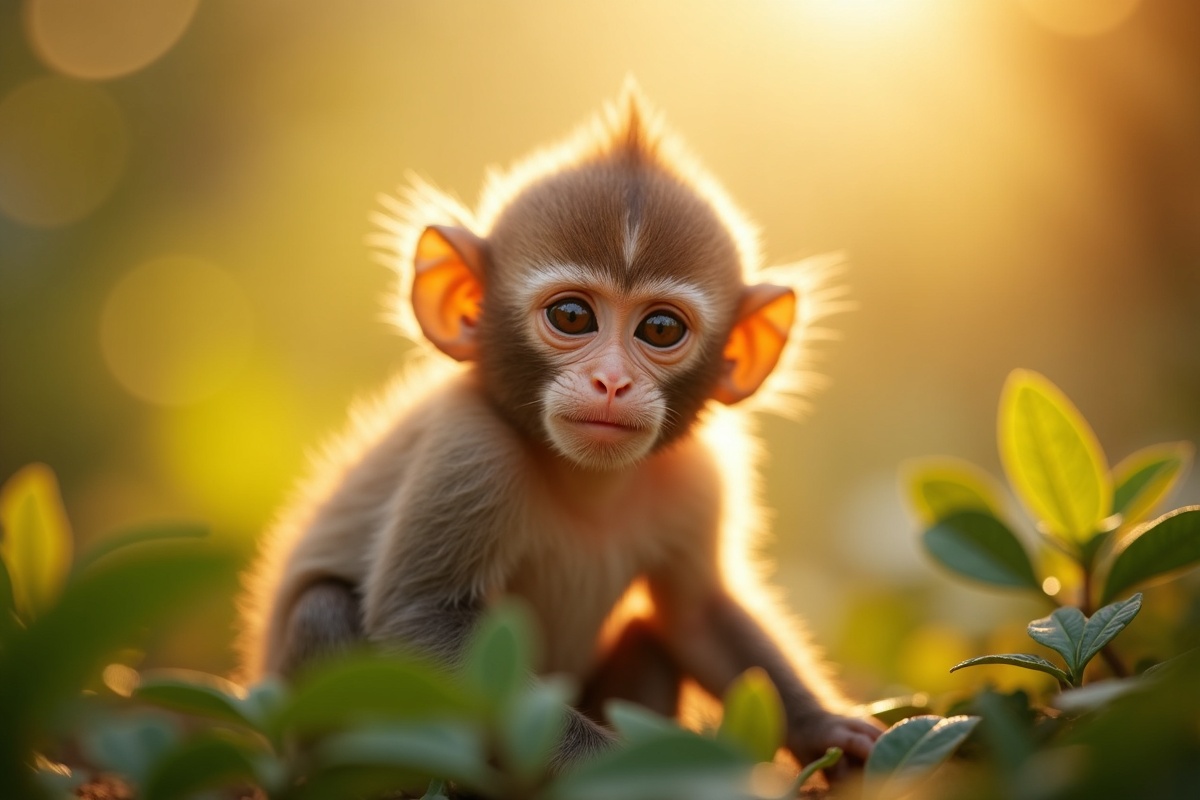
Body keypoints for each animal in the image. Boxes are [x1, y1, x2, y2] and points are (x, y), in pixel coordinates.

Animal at [238, 84, 882, 774]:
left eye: (660, 329)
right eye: (572, 316)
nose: (611, 382)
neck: (585, 484)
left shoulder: (697, 476)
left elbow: (696, 613)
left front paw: (826, 727)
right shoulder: (471, 449)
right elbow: (421, 620)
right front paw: (642, 771)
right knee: (322, 609)